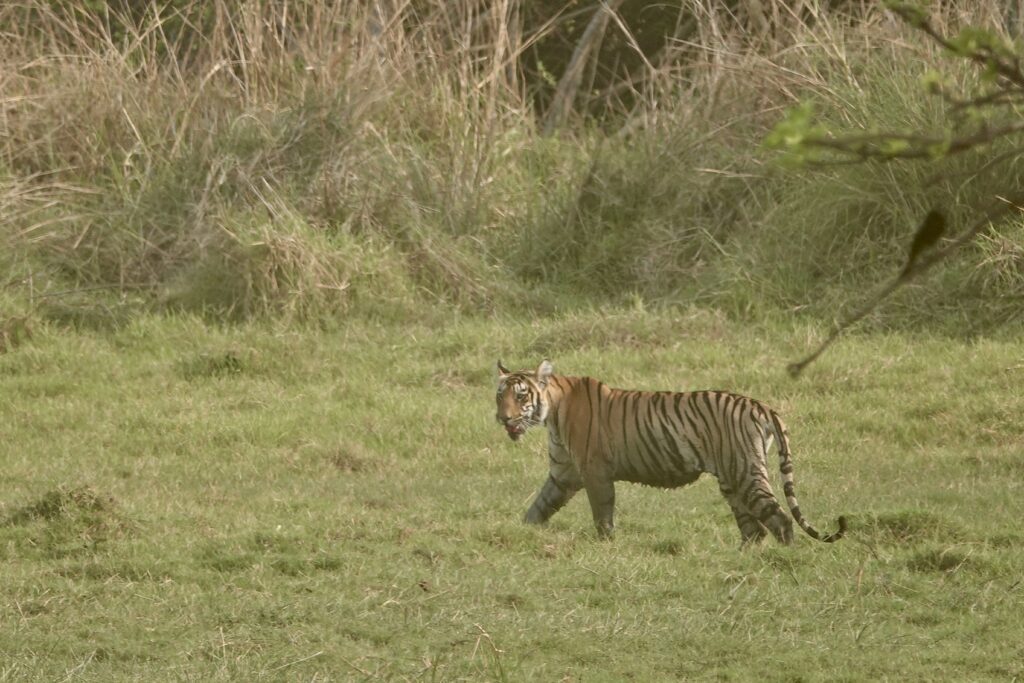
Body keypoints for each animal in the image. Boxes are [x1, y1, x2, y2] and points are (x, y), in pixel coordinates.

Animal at [494, 359, 846, 545]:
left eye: (521, 396)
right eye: (500, 396)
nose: (503, 418)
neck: (551, 413)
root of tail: (762, 406)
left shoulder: (594, 473)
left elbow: (602, 516)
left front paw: (605, 545)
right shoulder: (562, 474)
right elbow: (537, 509)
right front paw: (522, 533)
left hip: (746, 473)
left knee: (779, 520)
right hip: (732, 482)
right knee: (754, 530)